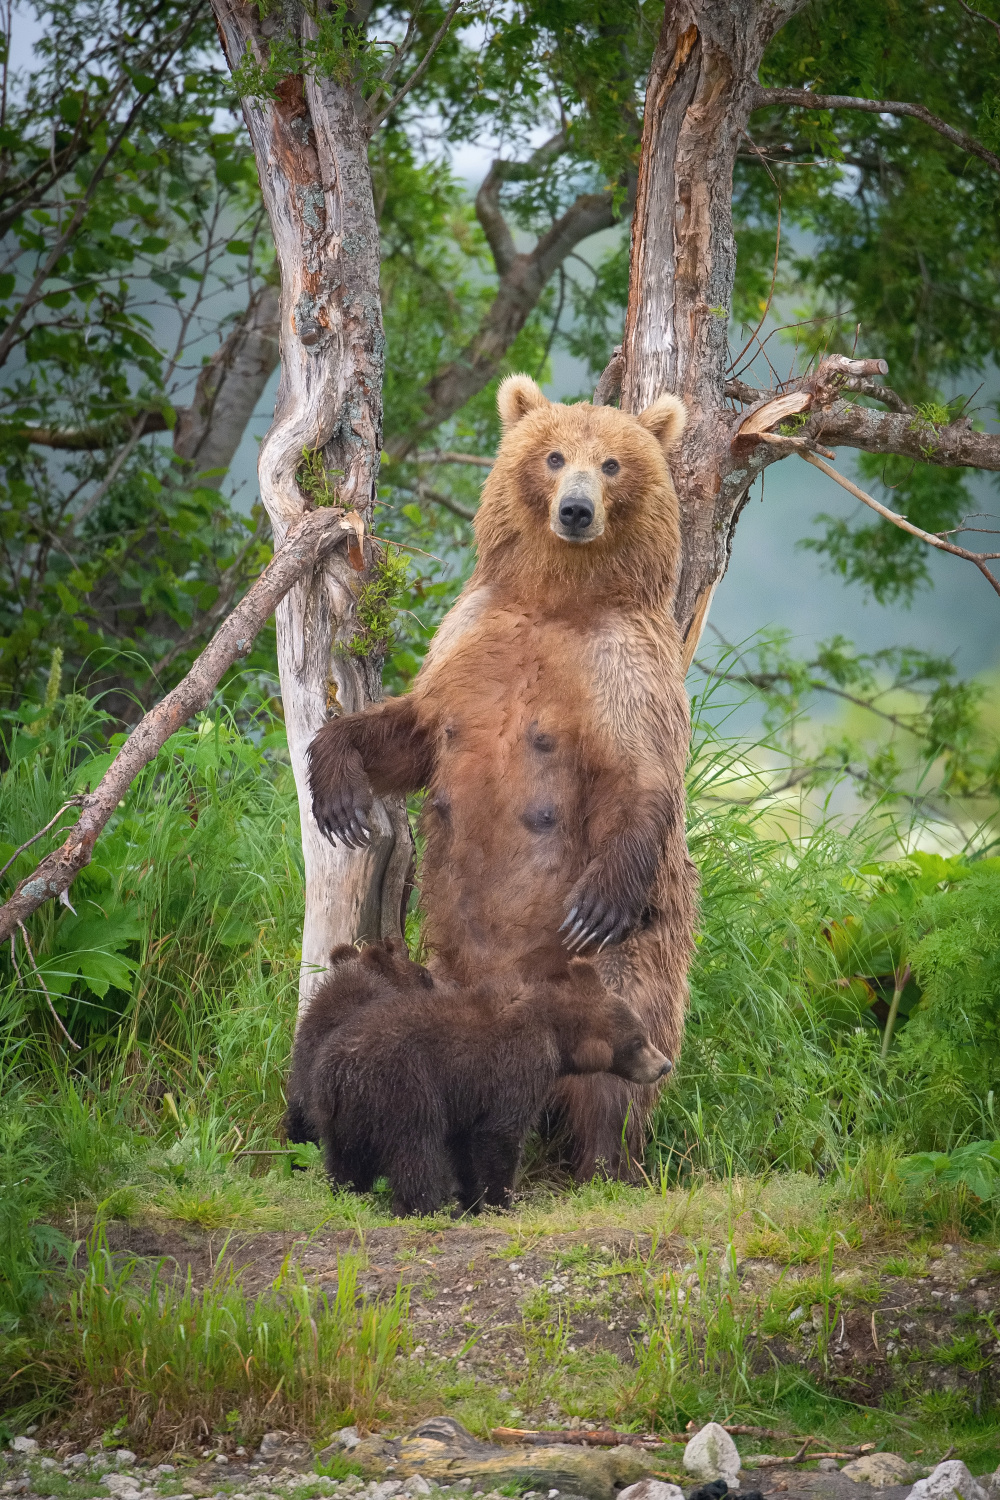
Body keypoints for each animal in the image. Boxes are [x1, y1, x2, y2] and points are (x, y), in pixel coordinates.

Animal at [310, 378, 695, 1182]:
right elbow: (408, 731)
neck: (556, 600)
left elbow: (643, 778)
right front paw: (338, 790)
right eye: (552, 455)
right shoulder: (468, 643)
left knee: (618, 1059)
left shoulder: (626, 675)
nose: (575, 510)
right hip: (448, 965)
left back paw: (605, 1161)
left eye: (611, 463)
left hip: (624, 961)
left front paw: (598, 902)